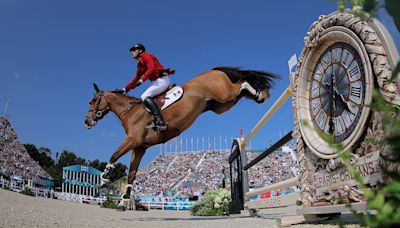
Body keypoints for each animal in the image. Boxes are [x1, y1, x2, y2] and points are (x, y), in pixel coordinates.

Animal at [83, 66, 278, 210]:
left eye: (93, 101)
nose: (86, 121)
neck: (131, 113)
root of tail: (214, 70)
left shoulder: (133, 141)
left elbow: (114, 155)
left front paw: (104, 178)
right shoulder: (139, 148)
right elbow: (131, 175)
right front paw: (123, 202)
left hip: (224, 94)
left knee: (242, 83)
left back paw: (259, 93)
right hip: (221, 105)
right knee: (240, 91)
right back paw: (260, 95)